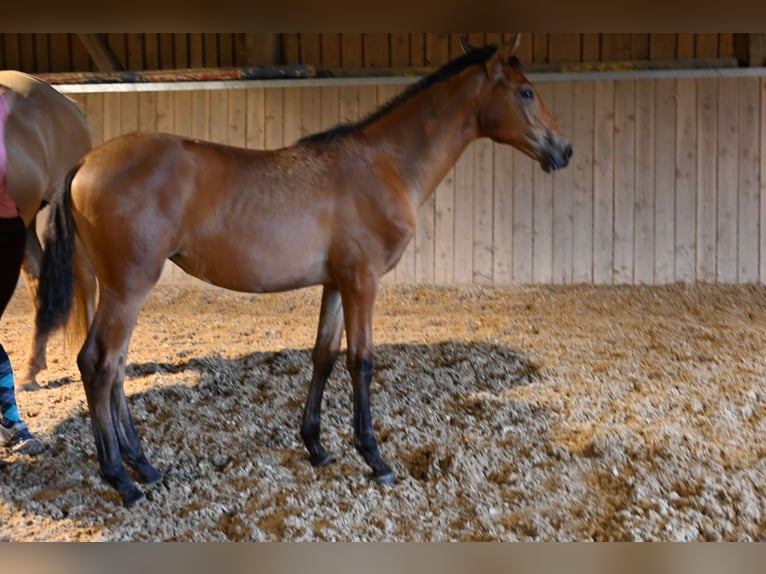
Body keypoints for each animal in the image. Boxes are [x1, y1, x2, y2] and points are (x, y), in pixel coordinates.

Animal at [35, 37, 573, 507]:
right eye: (526, 92)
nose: (563, 149)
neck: (384, 166)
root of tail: (85, 162)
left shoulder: (337, 282)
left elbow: (324, 356)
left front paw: (316, 446)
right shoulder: (363, 281)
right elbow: (362, 362)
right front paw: (375, 459)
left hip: (120, 289)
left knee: (117, 366)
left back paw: (144, 465)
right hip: (128, 288)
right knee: (99, 364)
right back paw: (121, 480)